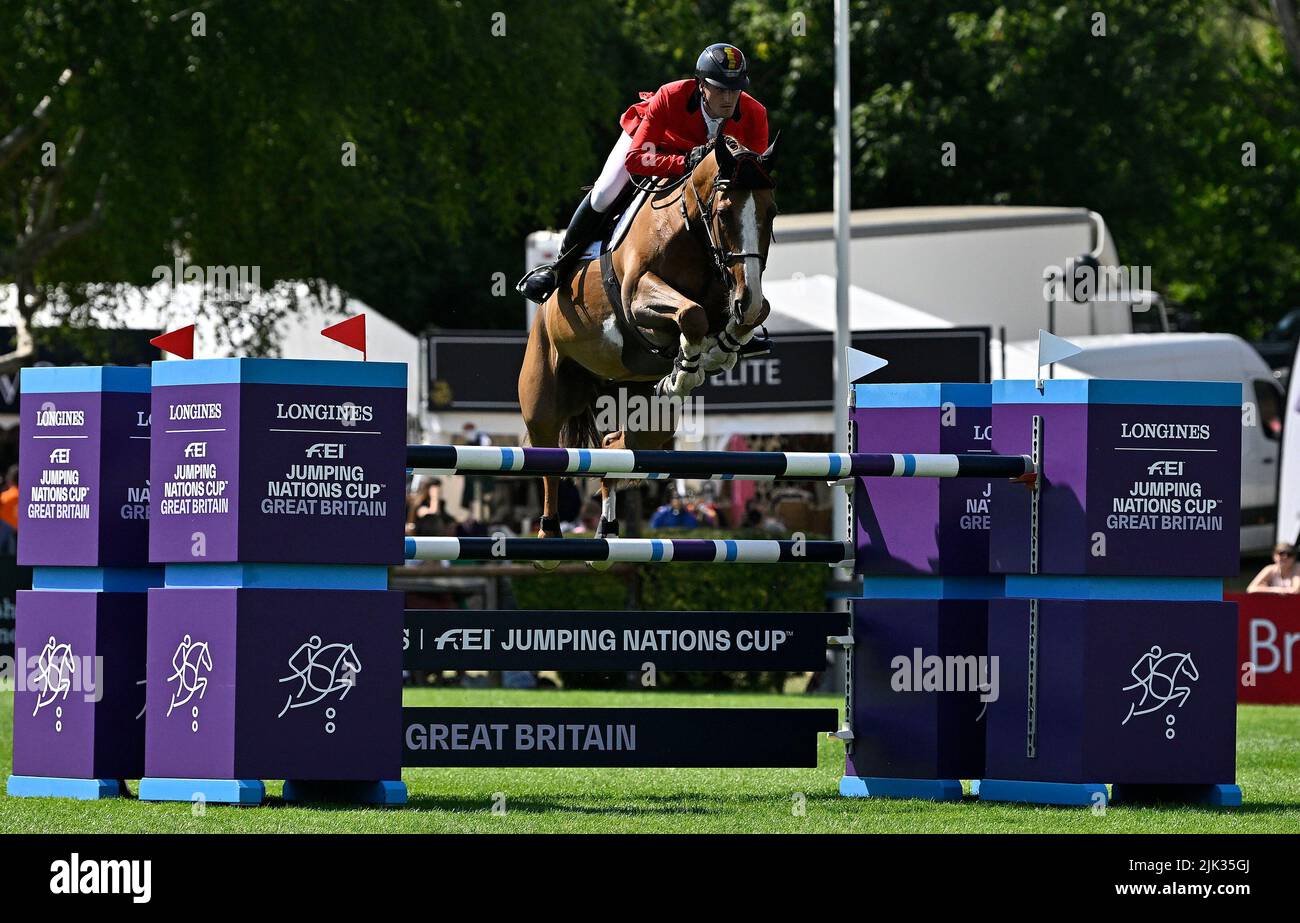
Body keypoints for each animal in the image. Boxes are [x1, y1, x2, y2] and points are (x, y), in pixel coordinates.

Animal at [517, 133, 774, 553]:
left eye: (771, 212)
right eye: (723, 213)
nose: (746, 298)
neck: (692, 230)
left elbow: (744, 319)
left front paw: (712, 354)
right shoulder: (637, 296)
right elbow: (691, 314)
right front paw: (685, 370)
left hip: (647, 415)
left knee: (616, 445)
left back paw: (606, 530)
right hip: (543, 394)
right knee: (549, 456)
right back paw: (549, 536)